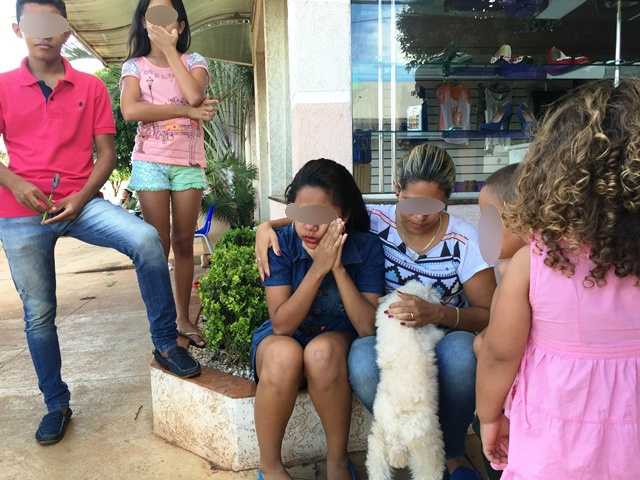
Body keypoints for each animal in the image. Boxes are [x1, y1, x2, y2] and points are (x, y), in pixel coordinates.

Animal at [364, 282, 444, 480]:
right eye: (425, 291)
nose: (439, 295)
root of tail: (396, 441)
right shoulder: (429, 334)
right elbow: (436, 333)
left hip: (377, 442)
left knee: (377, 469)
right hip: (427, 447)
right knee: (429, 471)